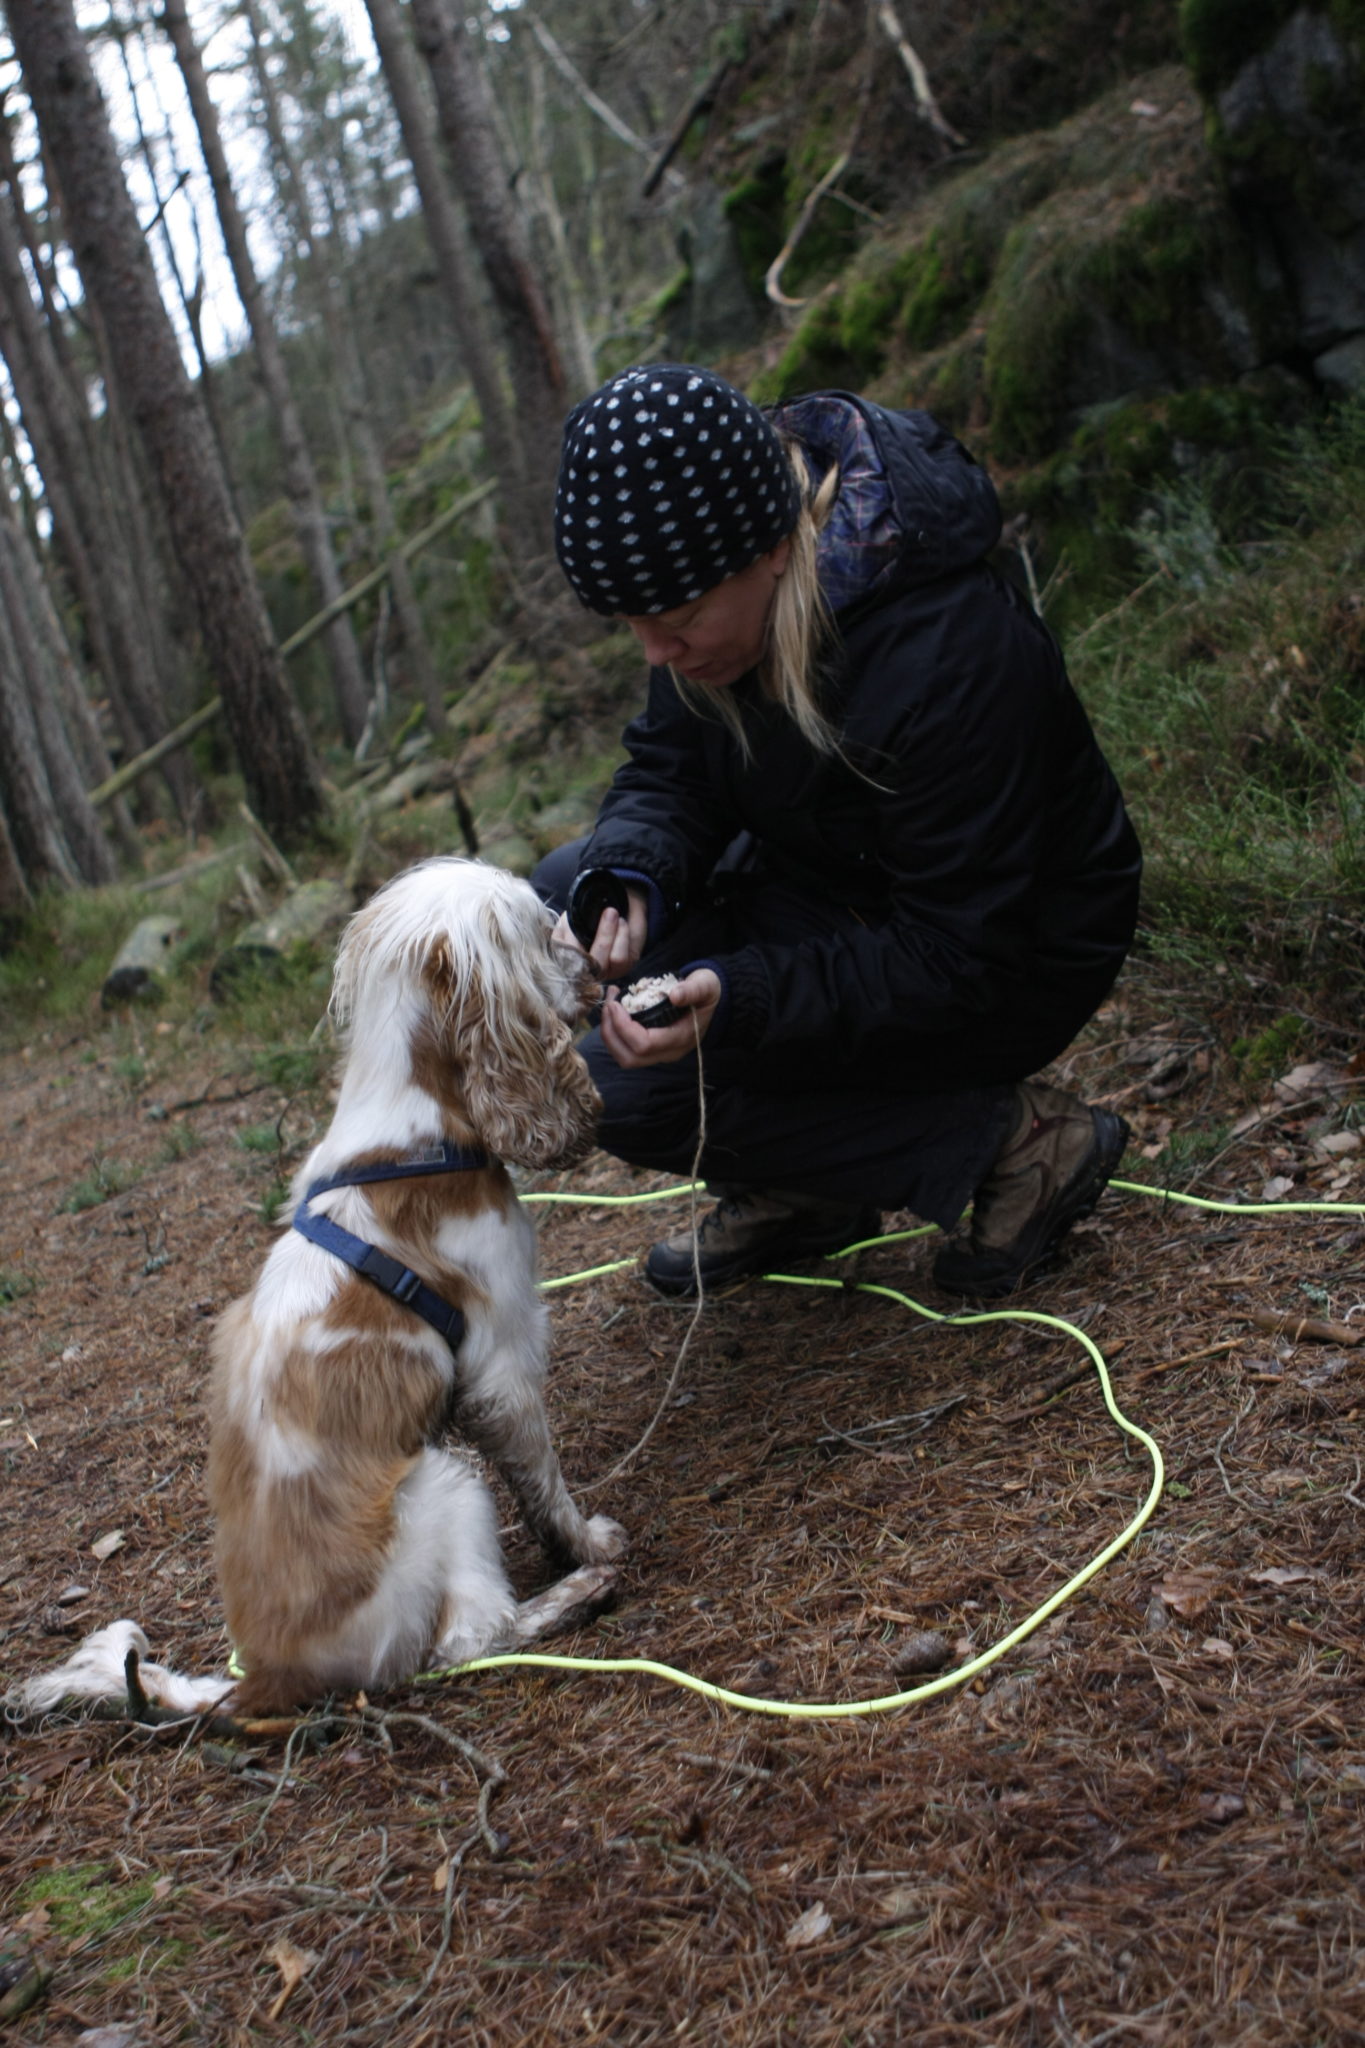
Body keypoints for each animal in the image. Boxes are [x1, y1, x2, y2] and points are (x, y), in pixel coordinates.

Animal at [18, 856, 626, 1720]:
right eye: (543, 930)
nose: (596, 966)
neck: (415, 1137)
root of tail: (265, 1681)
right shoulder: (501, 1366)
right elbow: (543, 1482)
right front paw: (586, 1544)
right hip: (443, 1482)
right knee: (467, 1641)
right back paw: (575, 1594)